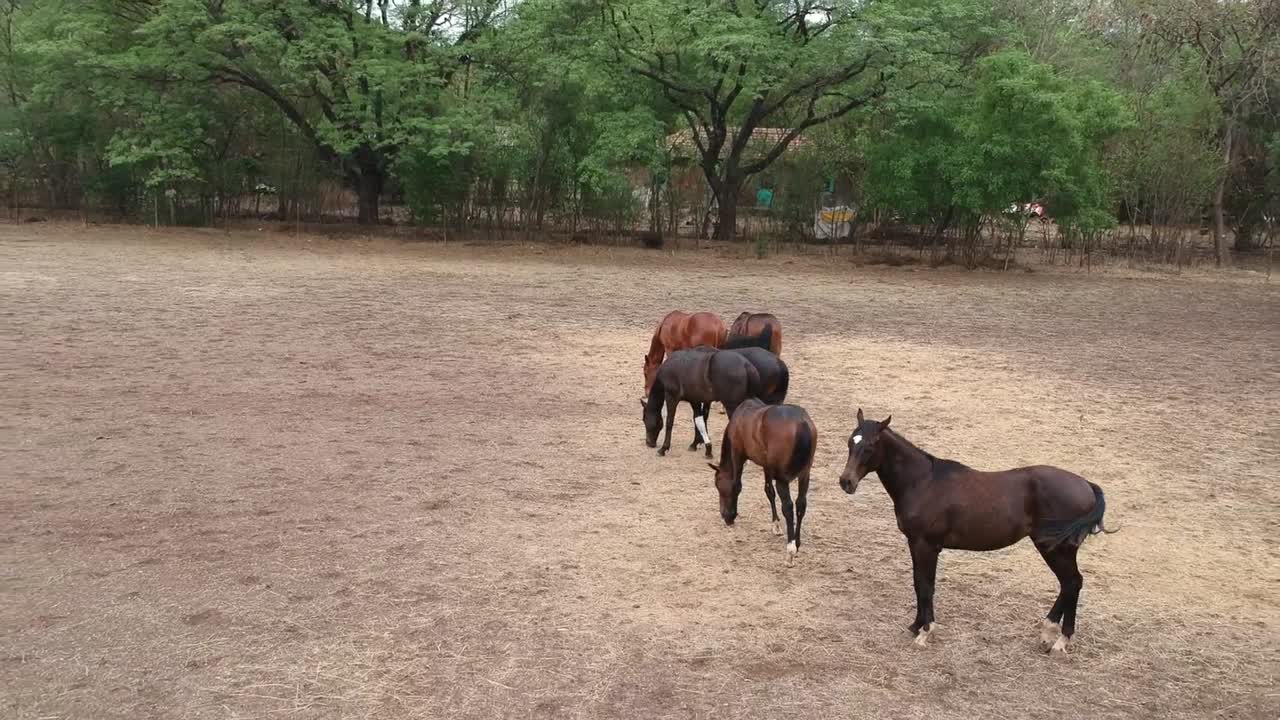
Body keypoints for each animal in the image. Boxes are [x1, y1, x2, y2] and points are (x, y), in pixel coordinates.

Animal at [707, 399, 816, 565]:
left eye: (718, 485)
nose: (724, 514)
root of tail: (801, 423)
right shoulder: (767, 466)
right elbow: (769, 491)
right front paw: (775, 525)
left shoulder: (737, 454)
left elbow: (737, 485)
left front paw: (732, 515)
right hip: (804, 475)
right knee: (800, 505)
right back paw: (796, 543)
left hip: (782, 479)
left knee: (788, 507)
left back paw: (790, 549)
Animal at [838, 409, 1115, 653]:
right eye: (851, 441)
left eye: (870, 446)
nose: (846, 482)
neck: (923, 482)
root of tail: (1086, 485)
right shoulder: (915, 544)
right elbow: (918, 583)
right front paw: (916, 626)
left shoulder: (926, 545)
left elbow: (926, 585)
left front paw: (925, 632)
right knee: (1069, 585)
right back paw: (1048, 634)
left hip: (1056, 549)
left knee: (1072, 582)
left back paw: (1061, 641)